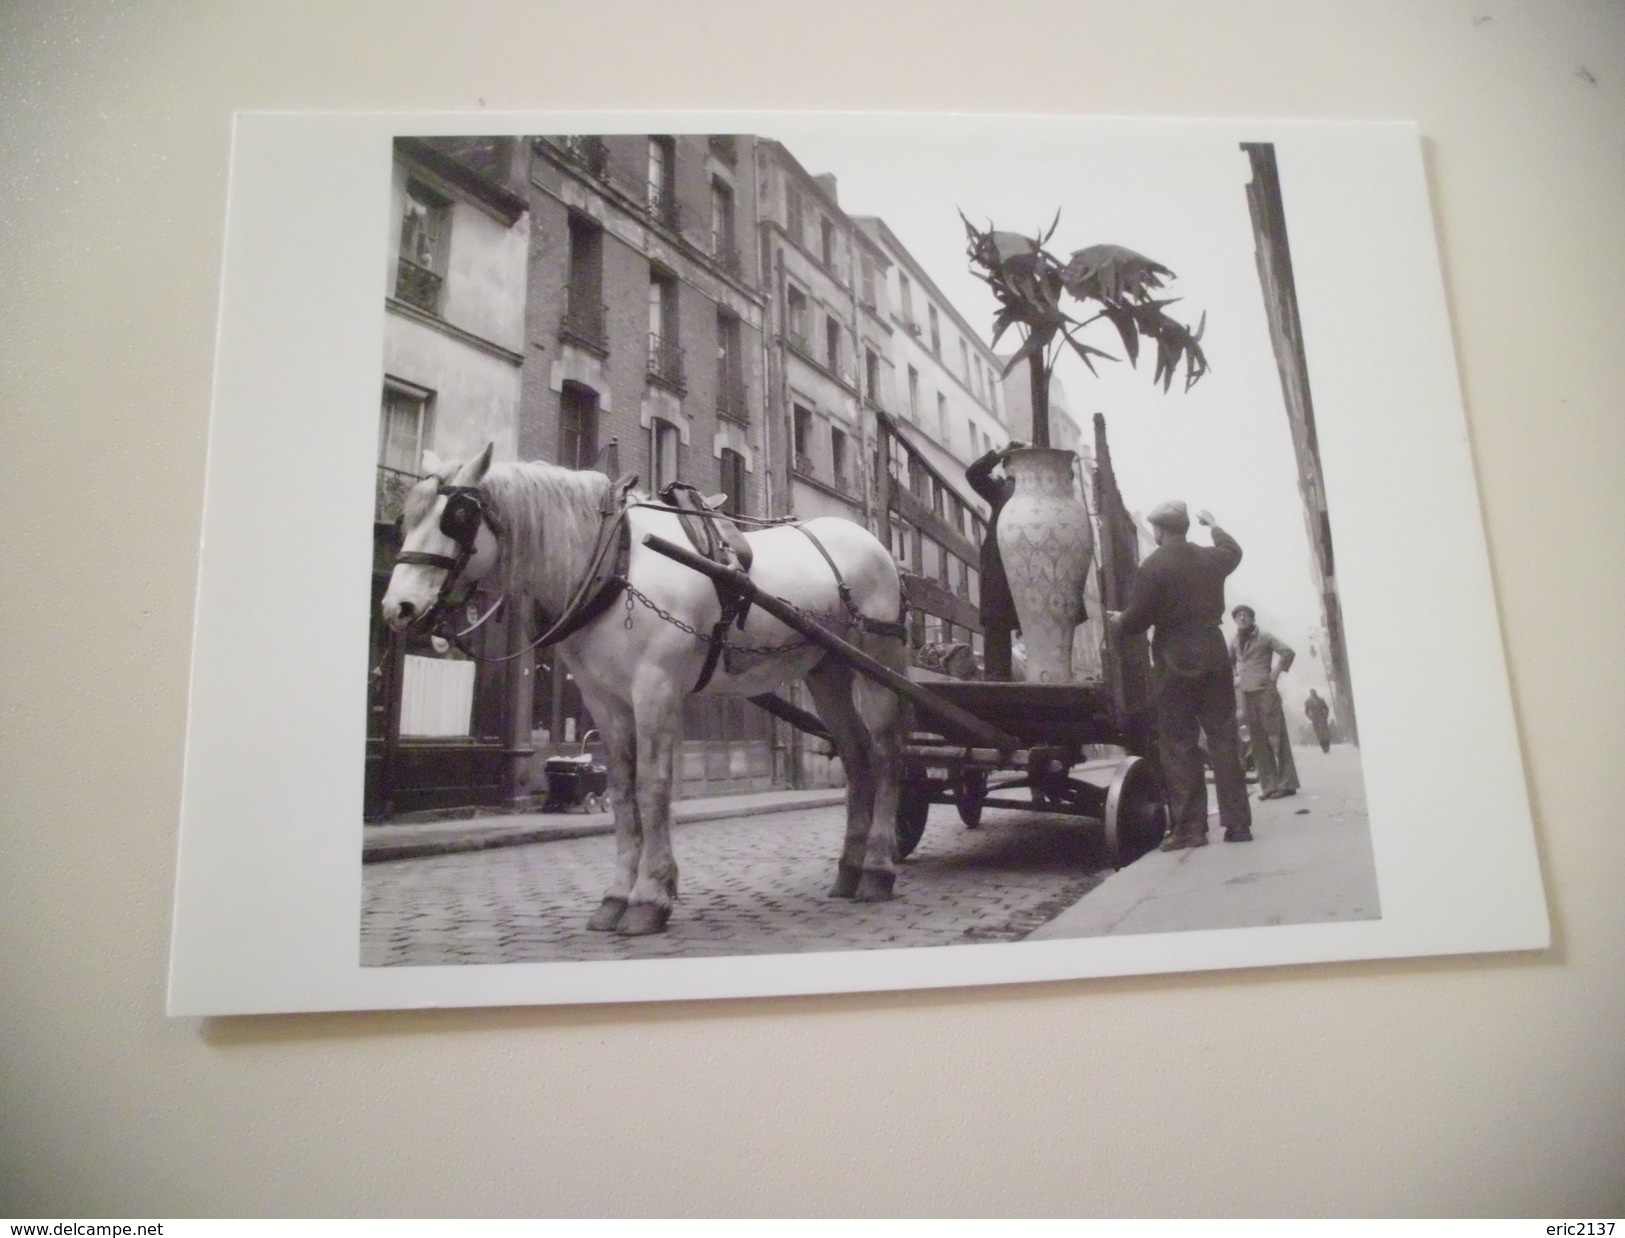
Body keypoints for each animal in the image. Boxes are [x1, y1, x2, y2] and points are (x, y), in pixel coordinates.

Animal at [383, 445, 916, 935]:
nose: (397, 608)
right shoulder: (604, 700)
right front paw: (616, 896)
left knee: (887, 754)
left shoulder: (655, 689)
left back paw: (878, 868)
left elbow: (653, 787)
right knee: (856, 756)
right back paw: (850, 869)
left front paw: (650, 896)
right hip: (827, 669)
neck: (616, 565)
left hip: (878, 662)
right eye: (408, 516)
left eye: (458, 517)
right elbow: (621, 791)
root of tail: (874, 543)